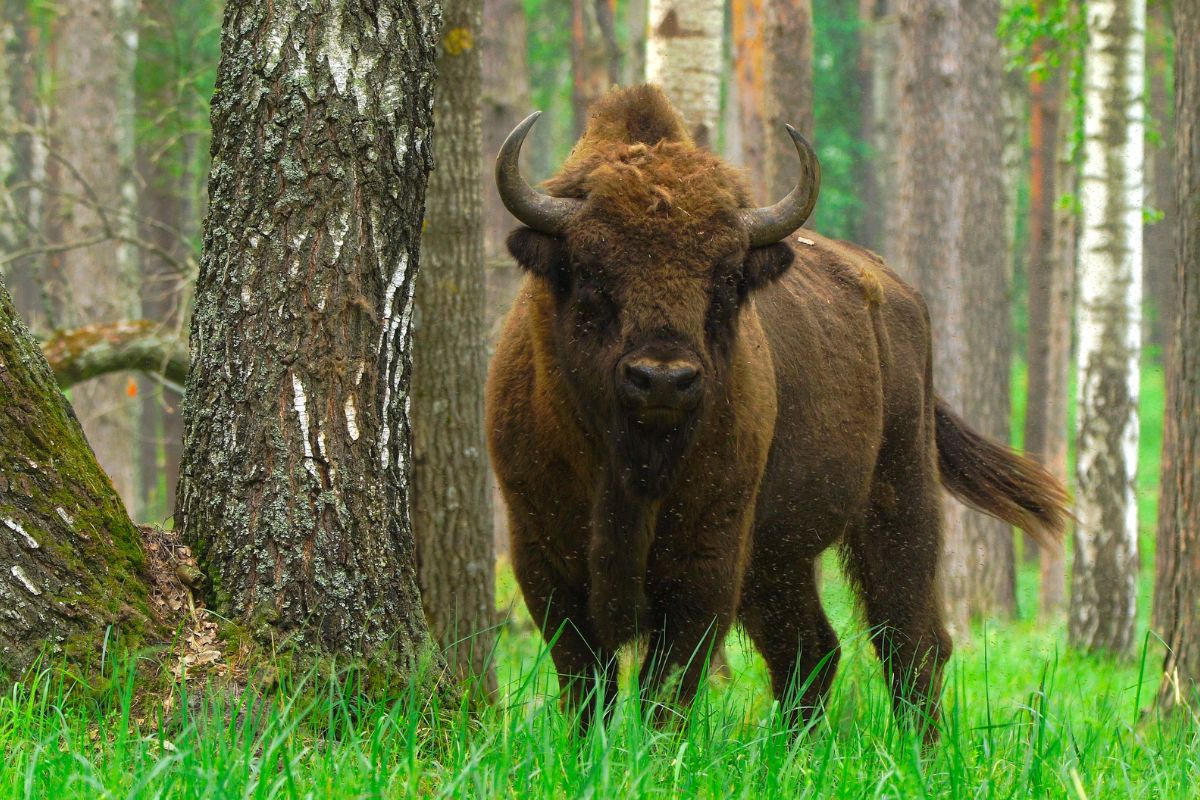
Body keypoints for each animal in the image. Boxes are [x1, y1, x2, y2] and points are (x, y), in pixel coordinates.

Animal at [487, 84, 1070, 743]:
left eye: (726, 278)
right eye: (589, 270)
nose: (662, 379)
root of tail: (897, 292)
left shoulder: (709, 557)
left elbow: (669, 683)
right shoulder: (542, 553)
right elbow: (587, 679)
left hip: (899, 498)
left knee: (910, 640)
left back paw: (918, 750)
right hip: (778, 559)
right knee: (811, 650)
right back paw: (796, 749)